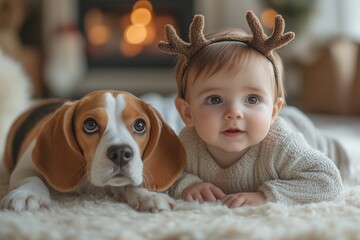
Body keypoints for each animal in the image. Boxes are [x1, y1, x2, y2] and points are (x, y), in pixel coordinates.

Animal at [0, 90, 186, 212]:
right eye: (90, 125)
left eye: (140, 125)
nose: (121, 153)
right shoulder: (23, 168)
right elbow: (32, 178)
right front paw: (27, 195)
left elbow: (131, 185)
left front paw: (148, 196)